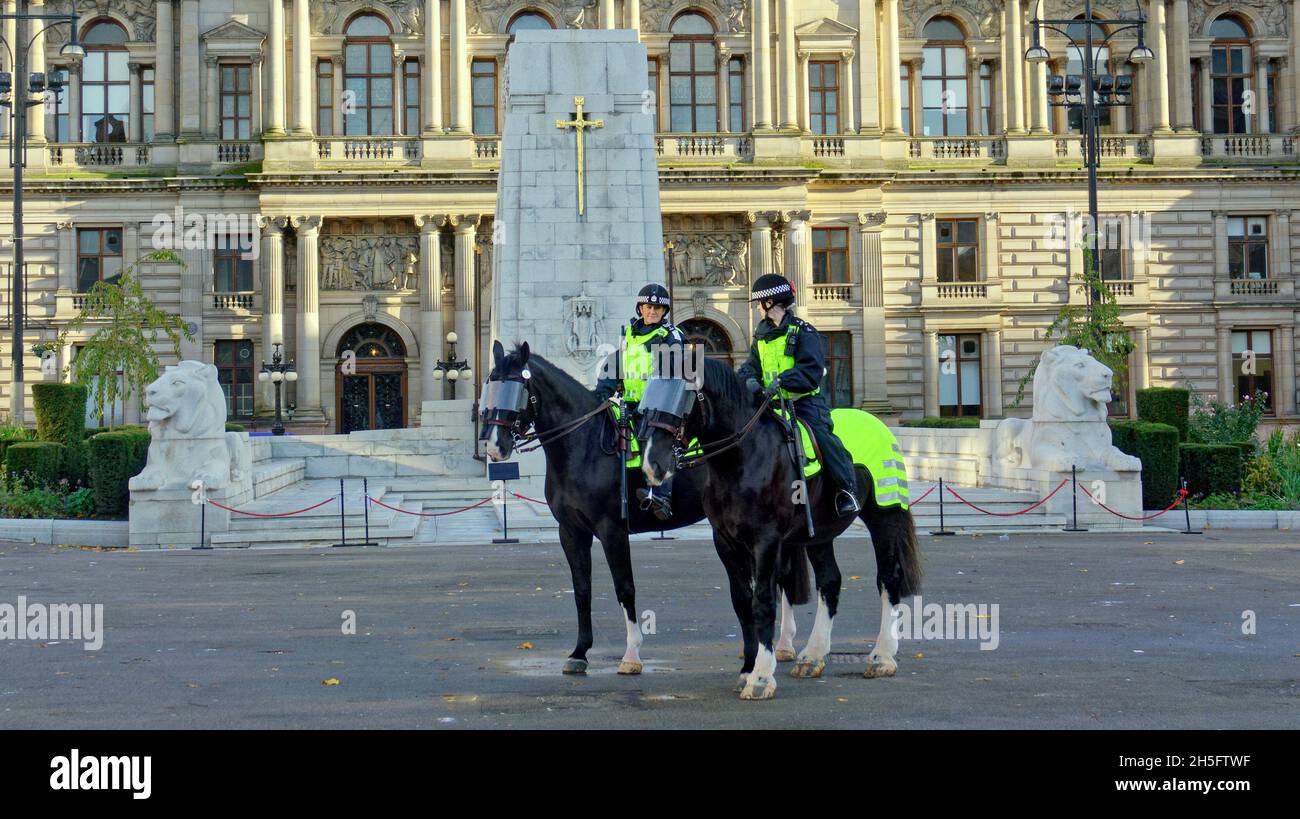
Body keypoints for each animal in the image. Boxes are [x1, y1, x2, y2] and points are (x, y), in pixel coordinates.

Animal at [483, 343, 806, 676]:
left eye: (517, 389)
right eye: (491, 386)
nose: (493, 446)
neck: (583, 447)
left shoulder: (611, 530)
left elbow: (625, 588)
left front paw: (631, 654)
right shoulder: (571, 532)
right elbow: (582, 589)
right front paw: (579, 651)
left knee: (782, 579)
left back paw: (783, 645)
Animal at [637, 361, 920, 707]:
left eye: (684, 397)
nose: (652, 465)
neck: (740, 459)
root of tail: (879, 423)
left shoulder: (766, 541)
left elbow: (763, 602)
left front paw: (761, 676)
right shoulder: (725, 542)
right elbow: (742, 602)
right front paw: (747, 669)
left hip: (884, 516)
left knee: (888, 579)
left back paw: (882, 657)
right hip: (820, 533)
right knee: (830, 581)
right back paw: (813, 656)